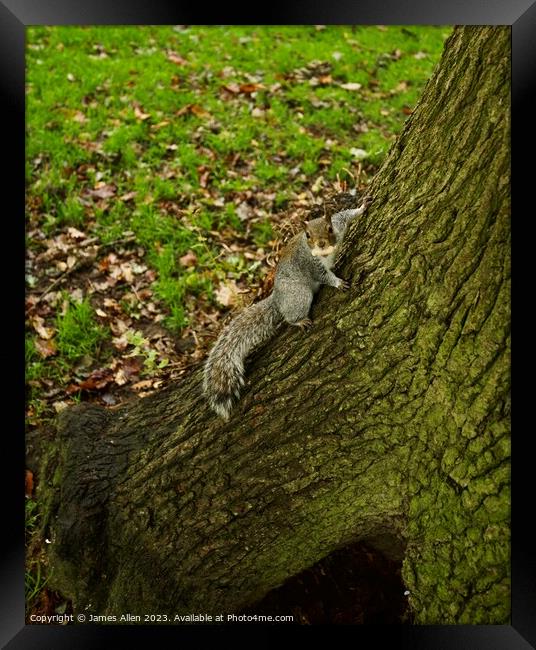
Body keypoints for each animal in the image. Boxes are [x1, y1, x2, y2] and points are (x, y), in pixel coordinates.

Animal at [203, 195, 370, 418]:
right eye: (307, 235)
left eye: (329, 228)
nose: (321, 244)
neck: (324, 254)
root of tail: (278, 298)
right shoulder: (311, 265)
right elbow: (324, 276)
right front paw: (337, 283)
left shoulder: (339, 223)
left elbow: (346, 215)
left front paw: (362, 206)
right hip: (298, 295)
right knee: (290, 315)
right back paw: (298, 321)